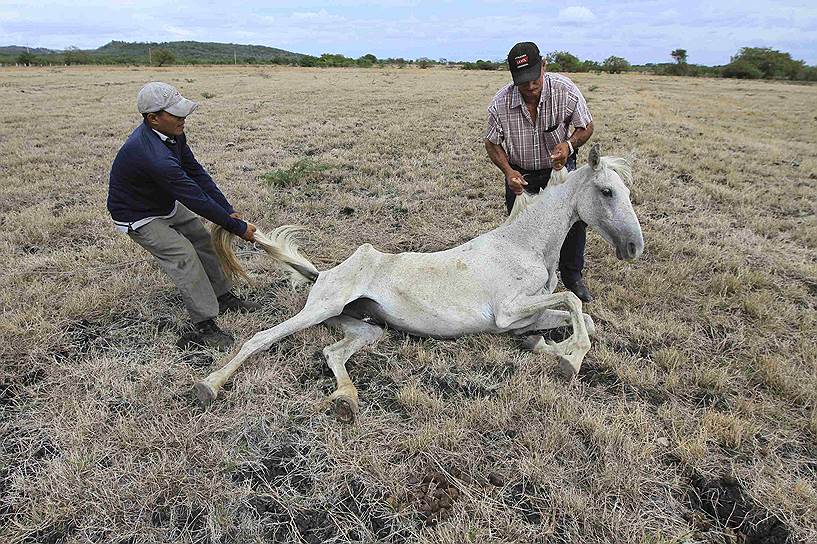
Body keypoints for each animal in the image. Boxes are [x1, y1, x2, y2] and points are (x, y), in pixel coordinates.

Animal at [194, 146, 640, 420]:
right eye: (606, 191)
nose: (635, 247)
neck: (521, 245)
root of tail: (323, 274)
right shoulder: (507, 312)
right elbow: (574, 301)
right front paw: (570, 359)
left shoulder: (523, 317)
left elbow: (578, 316)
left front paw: (549, 347)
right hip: (321, 308)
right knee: (260, 339)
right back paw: (210, 385)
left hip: (364, 327)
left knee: (333, 351)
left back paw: (346, 401)